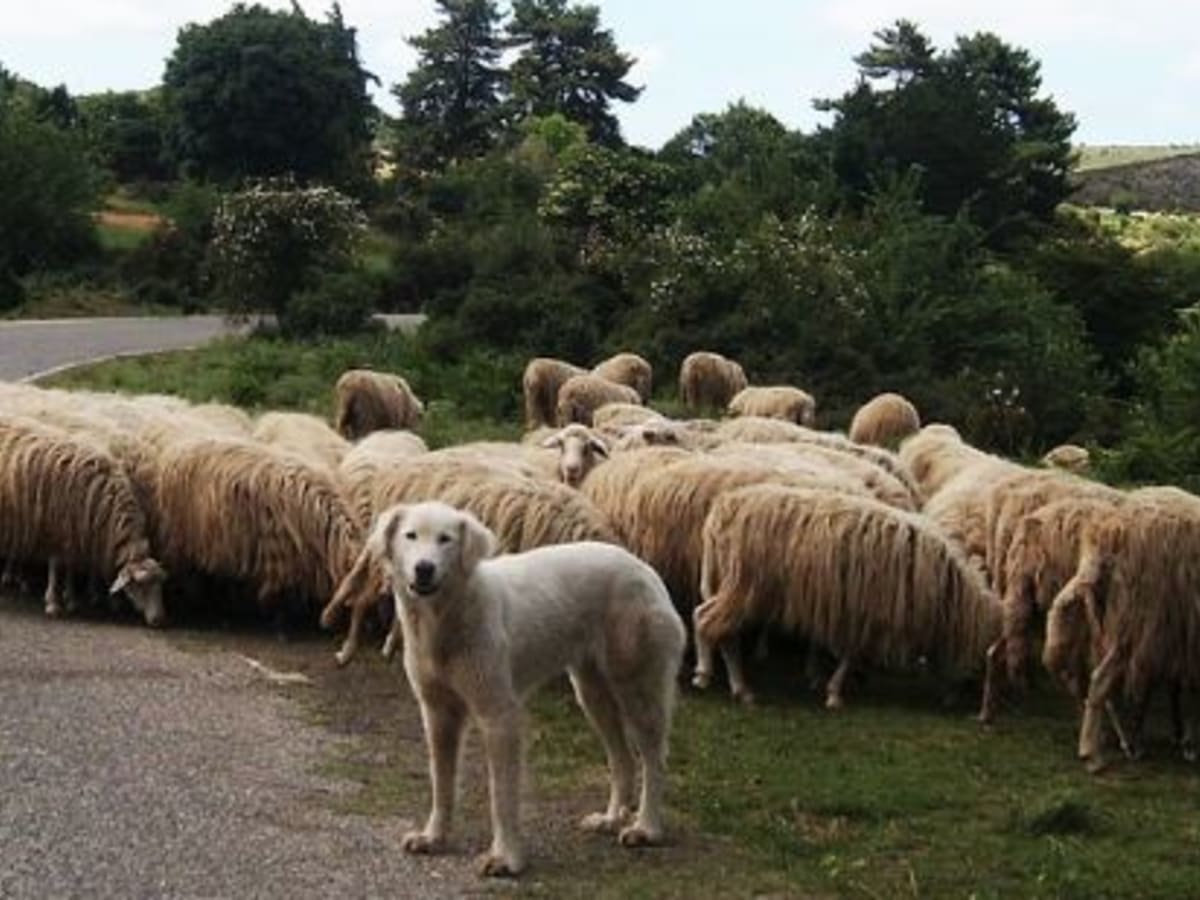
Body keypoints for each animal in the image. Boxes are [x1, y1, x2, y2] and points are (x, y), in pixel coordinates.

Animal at [0, 415, 166, 628]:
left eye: (160, 584)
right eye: (140, 585)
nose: (159, 620)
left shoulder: (75, 534)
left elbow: (70, 566)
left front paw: (71, 598)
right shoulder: (57, 530)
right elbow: (56, 567)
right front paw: (53, 603)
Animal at [364, 504, 686, 878]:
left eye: (445, 539)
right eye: (411, 536)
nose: (424, 568)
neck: (446, 619)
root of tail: (643, 568)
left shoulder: (499, 716)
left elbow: (501, 795)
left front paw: (506, 858)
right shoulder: (438, 715)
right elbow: (442, 784)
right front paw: (433, 837)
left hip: (637, 689)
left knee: (654, 758)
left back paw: (647, 828)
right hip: (592, 694)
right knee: (623, 759)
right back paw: (610, 819)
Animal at [696, 487, 1003, 710]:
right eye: (979, 659)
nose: (958, 703)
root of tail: (722, 509)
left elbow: (847, 653)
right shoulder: (869, 613)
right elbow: (852, 654)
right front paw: (834, 694)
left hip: (729, 584)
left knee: (705, 618)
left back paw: (712, 676)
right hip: (743, 588)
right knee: (712, 625)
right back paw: (733, 686)